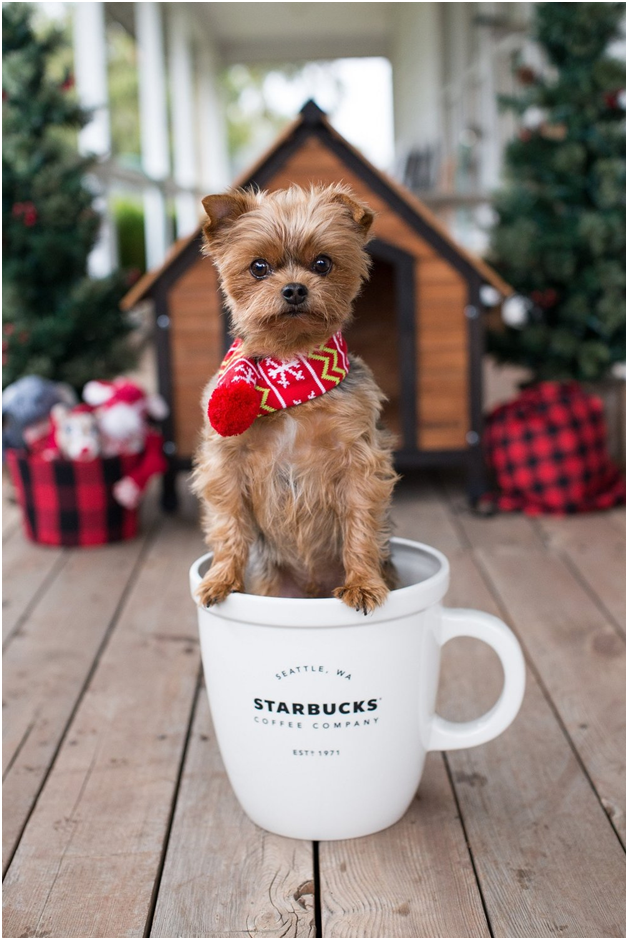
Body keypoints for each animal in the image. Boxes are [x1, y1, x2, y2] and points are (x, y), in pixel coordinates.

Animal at [191, 183, 398, 612]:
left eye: (322, 263)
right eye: (258, 267)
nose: (294, 288)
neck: (291, 366)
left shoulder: (359, 460)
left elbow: (361, 524)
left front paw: (363, 583)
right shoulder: (225, 462)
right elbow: (228, 523)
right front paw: (221, 578)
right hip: (272, 586)